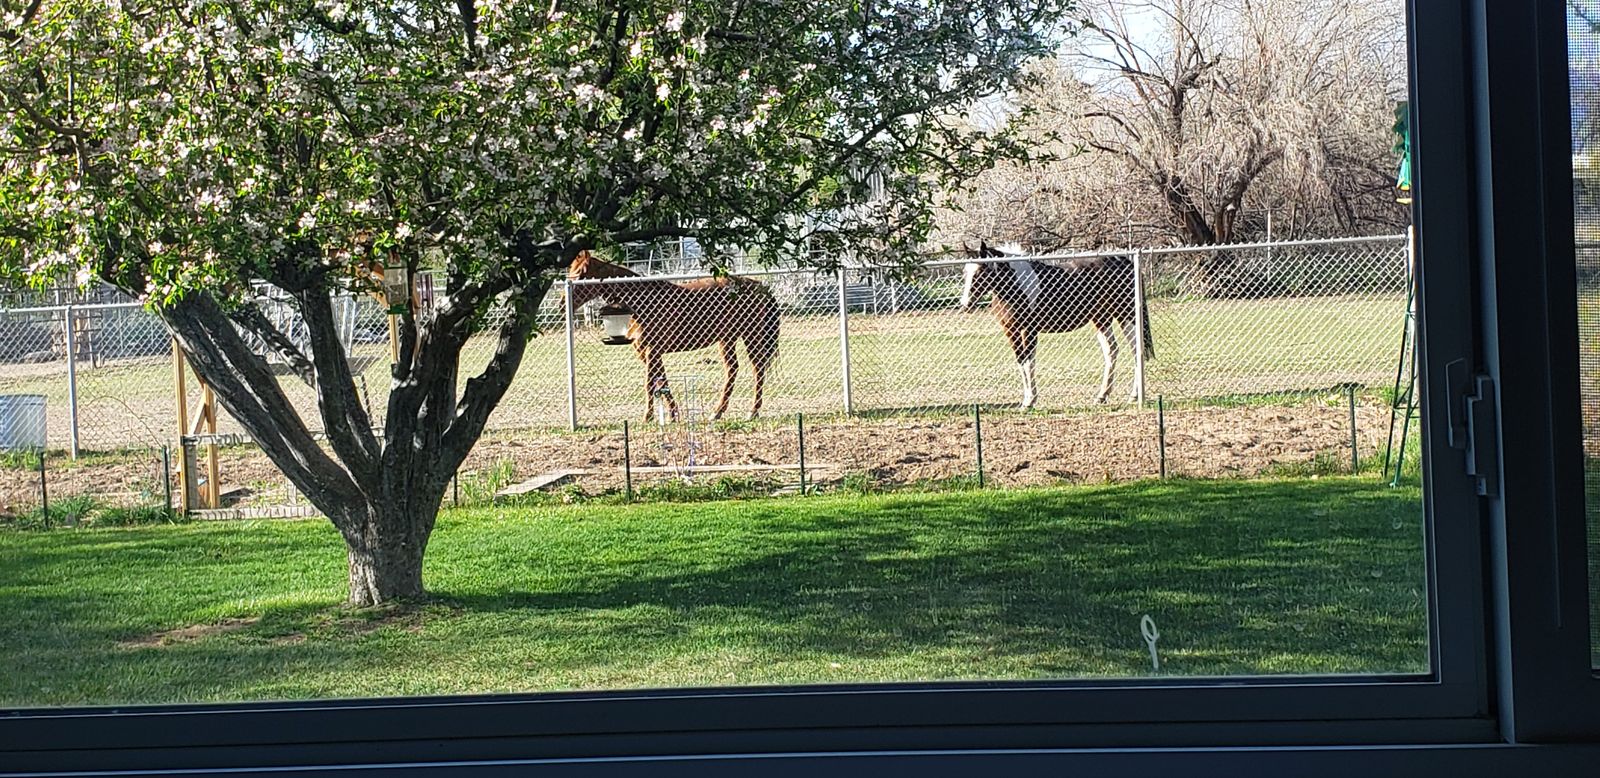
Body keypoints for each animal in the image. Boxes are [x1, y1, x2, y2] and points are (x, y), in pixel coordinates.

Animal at [567, 252, 781, 422]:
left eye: (580, 274)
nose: (563, 301)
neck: (643, 302)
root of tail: (759, 286)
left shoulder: (652, 351)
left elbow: (649, 383)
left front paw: (648, 416)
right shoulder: (648, 352)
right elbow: (662, 381)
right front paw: (673, 414)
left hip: (751, 335)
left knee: (757, 368)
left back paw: (752, 412)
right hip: (727, 339)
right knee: (732, 369)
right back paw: (718, 412)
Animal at [959, 241, 1154, 409]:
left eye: (980, 272)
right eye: (965, 272)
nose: (965, 304)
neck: (1018, 285)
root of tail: (1125, 261)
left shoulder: (1030, 330)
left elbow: (1029, 362)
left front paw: (1031, 401)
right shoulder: (1011, 331)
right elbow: (1021, 362)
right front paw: (1026, 400)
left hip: (1127, 316)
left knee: (1136, 350)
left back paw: (1134, 395)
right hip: (1101, 319)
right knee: (1111, 350)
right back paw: (1102, 395)